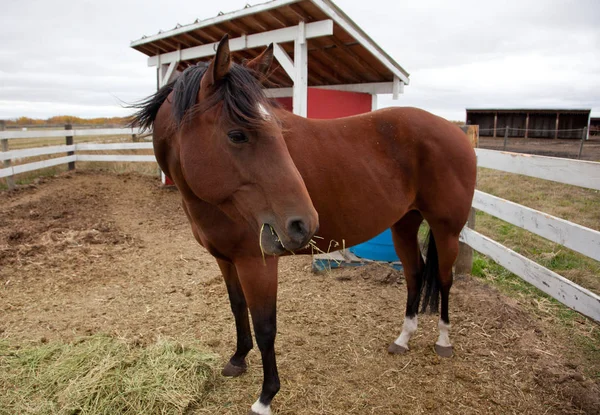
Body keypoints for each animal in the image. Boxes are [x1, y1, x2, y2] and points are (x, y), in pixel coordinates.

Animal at [132, 35, 478, 415]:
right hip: (403, 223)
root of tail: (455, 132)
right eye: (237, 135)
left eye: (278, 131)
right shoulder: (225, 259)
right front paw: (238, 359)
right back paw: (403, 338)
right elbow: (237, 308)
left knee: (443, 280)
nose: (303, 224)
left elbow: (266, 326)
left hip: (446, 229)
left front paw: (265, 397)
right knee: (415, 274)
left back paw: (443, 341)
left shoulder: (257, 263)